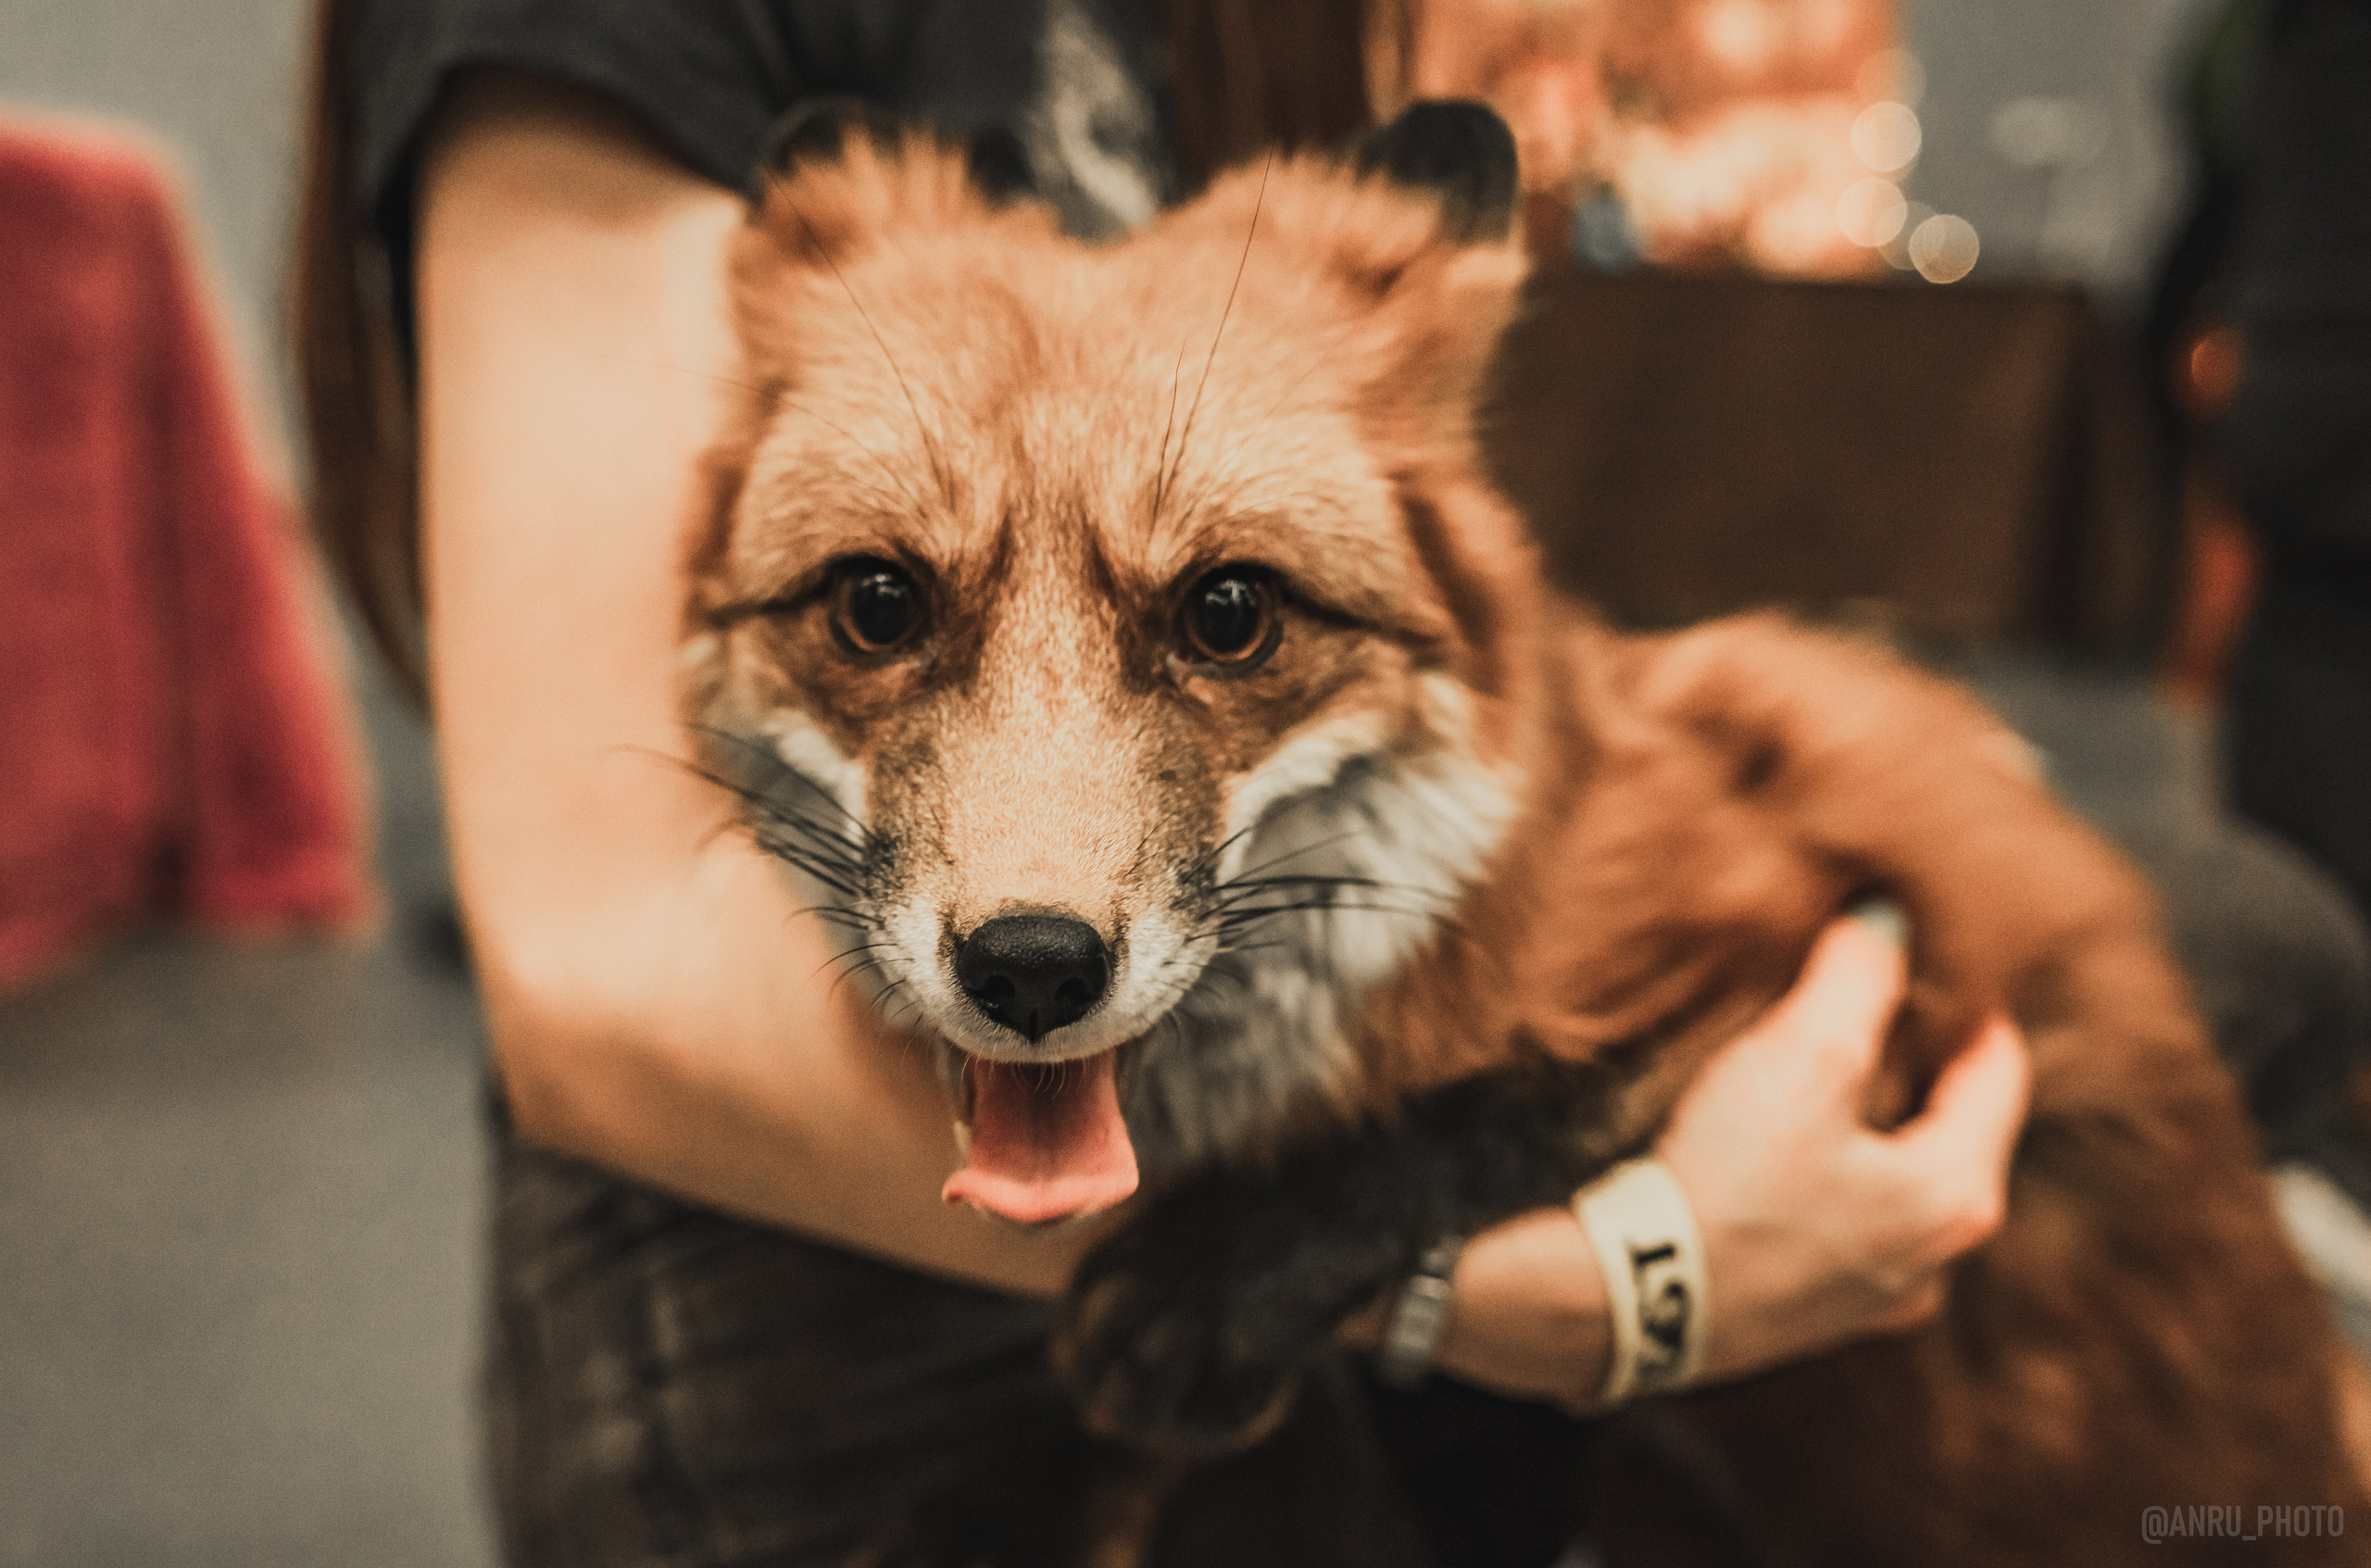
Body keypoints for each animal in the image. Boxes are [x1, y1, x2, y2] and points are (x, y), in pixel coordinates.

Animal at [681, 101, 2371, 1565]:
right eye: (878, 603)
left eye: (1228, 613)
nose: (1032, 965)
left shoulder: (1852, 935)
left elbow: (1488, 1114)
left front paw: (1210, 1283)